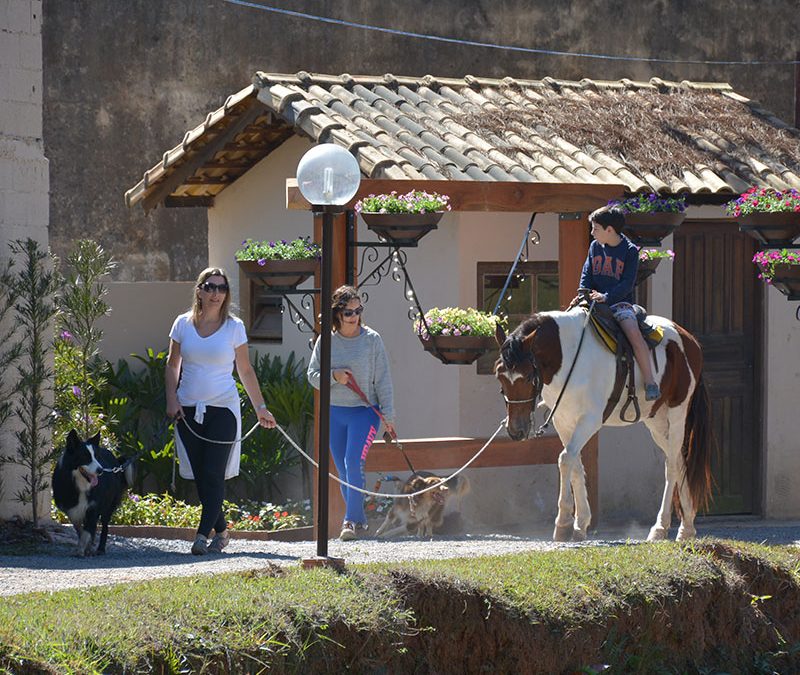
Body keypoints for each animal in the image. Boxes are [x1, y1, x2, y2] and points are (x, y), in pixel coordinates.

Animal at [494, 308, 712, 544]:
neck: (569, 356)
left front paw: (563, 523)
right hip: (658, 422)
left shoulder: (589, 419)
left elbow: (565, 460)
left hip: (677, 413)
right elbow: (575, 465)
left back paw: (660, 527)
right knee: (680, 461)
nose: (516, 430)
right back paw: (687, 527)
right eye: (499, 376)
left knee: (671, 466)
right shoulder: (564, 421)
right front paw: (580, 524)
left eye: (527, 376)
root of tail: (689, 340)